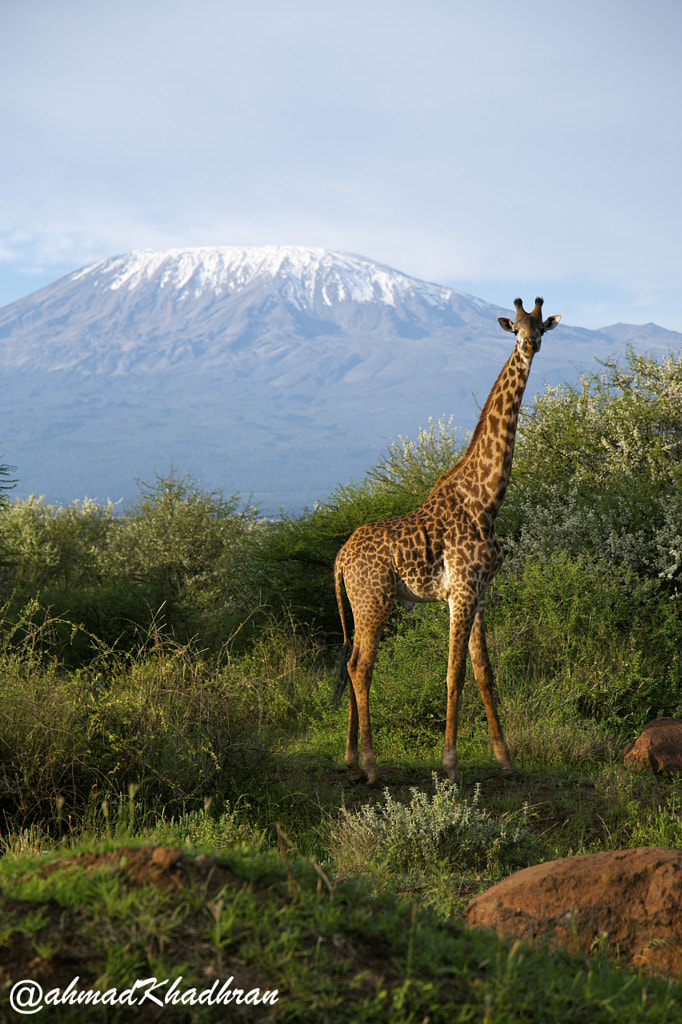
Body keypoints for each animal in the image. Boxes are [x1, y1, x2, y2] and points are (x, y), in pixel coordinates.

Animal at [331, 296, 561, 782]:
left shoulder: (480, 591)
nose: (529, 346)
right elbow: (454, 673)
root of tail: (340, 557)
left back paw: (350, 759)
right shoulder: (461, 589)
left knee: (351, 660)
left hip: (360, 604)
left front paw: (506, 760)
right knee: (361, 667)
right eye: (516, 329)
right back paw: (372, 766)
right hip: (375, 600)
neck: (486, 499)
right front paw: (451, 765)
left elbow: (484, 672)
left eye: (541, 329)